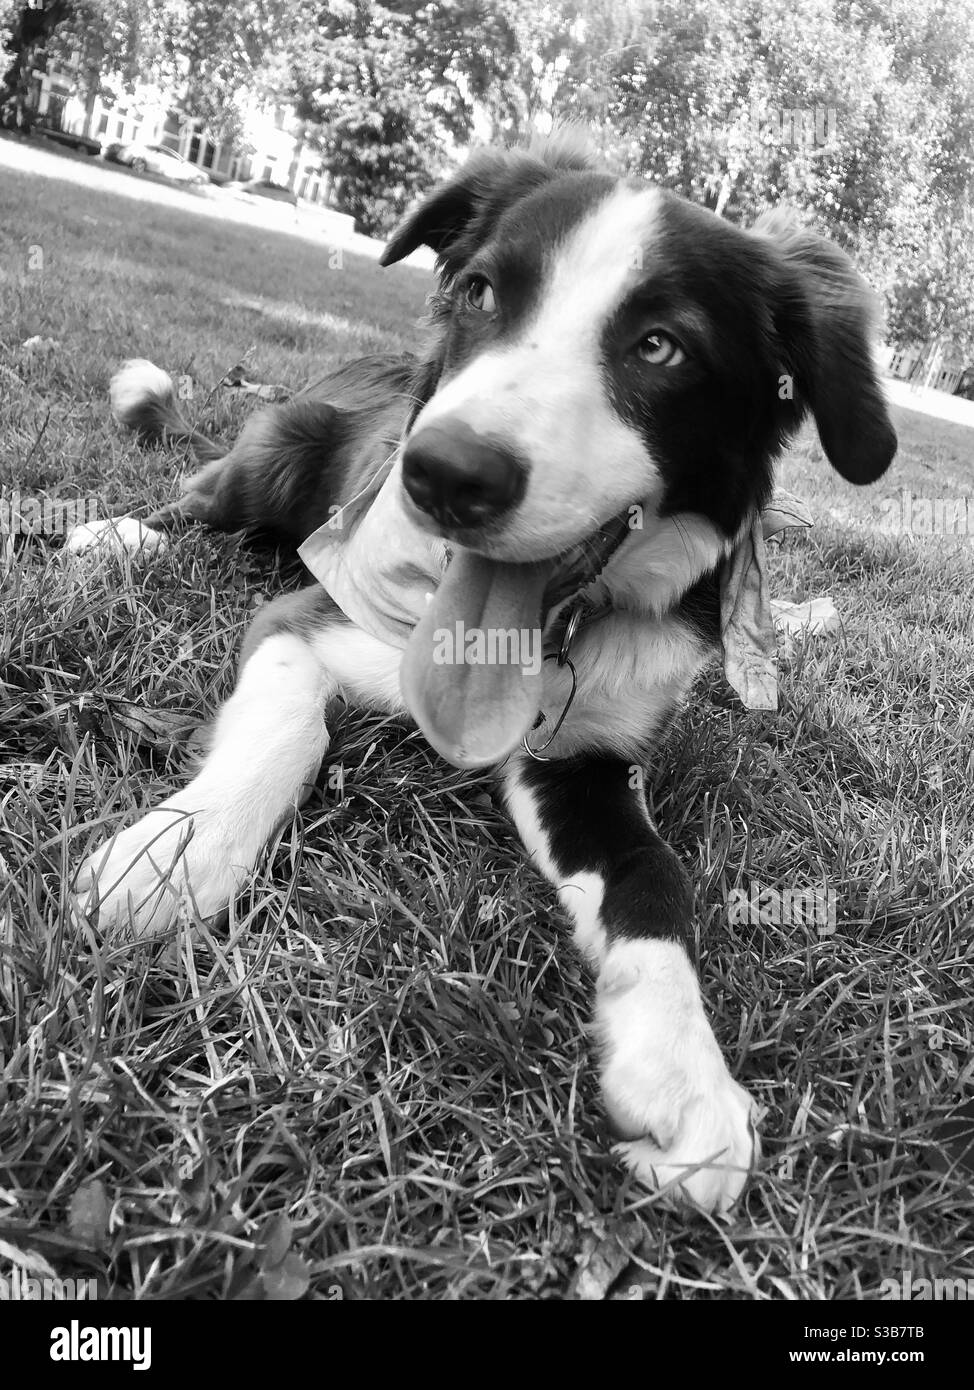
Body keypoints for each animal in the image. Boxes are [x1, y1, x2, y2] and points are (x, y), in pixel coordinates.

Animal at [68, 132, 894, 1217]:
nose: (444, 475)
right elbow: (293, 727)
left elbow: (651, 873)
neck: (547, 637)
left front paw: (681, 1074)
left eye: (660, 347)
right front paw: (176, 853)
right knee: (202, 498)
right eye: (479, 290)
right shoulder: (305, 616)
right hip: (280, 455)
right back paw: (119, 537)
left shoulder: (583, 758)